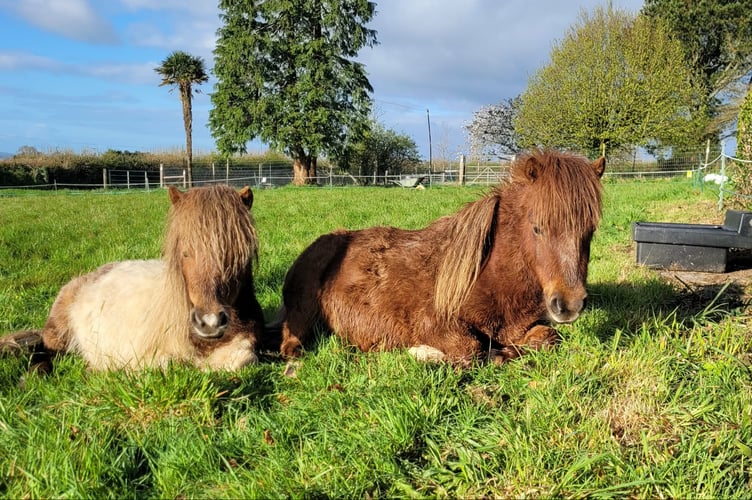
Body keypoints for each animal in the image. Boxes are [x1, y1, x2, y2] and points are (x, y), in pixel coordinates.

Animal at [1, 184, 266, 371]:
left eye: (238, 253)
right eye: (185, 252)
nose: (209, 322)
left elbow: (242, 359)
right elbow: (169, 365)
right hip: (58, 336)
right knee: (45, 352)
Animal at [277, 150, 605, 364]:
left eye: (590, 229)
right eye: (537, 227)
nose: (569, 304)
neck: (489, 277)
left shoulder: (521, 327)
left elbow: (549, 338)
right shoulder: (433, 324)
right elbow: (472, 350)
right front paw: (423, 353)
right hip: (303, 312)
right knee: (291, 344)